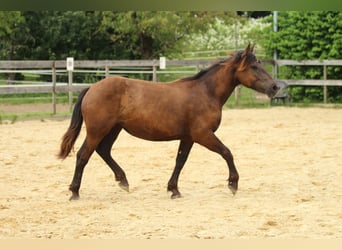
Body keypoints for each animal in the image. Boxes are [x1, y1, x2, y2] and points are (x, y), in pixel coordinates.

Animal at [57, 44, 280, 200]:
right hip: (97, 130)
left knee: (103, 151)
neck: (205, 92)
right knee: (83, 155)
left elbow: (180, 161)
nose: (275, 87)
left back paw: (123, 181)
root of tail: (92, 88)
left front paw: (174, 190)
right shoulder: (203, 135)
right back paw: (75, 192)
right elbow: (227, 152)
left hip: (113, 129)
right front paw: (233, 184)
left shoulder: (188, 137)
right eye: (254, 66)